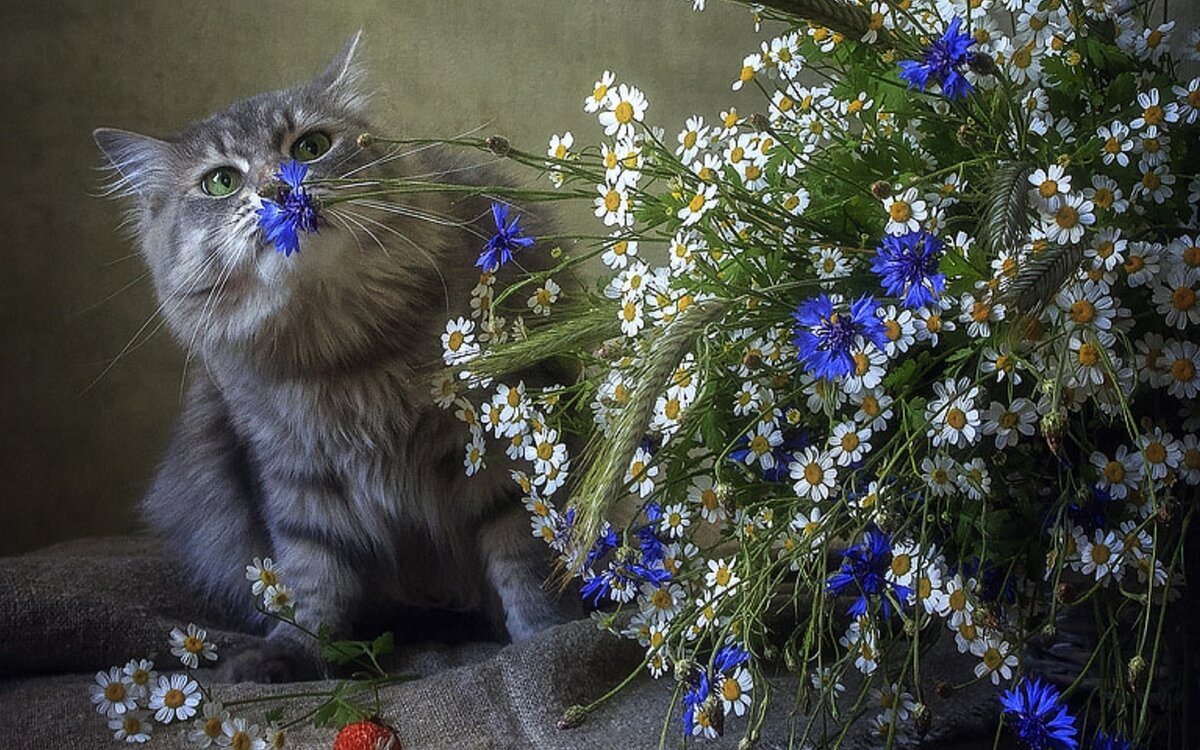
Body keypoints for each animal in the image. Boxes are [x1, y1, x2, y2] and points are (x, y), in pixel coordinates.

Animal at [92, 32, 571, 681]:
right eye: (221, 182)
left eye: (310, 147)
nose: (277, 190)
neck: (345, 355)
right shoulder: (296, 475)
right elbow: (312, 579)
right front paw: (294, 656)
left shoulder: (494, 447)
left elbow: (524, 561)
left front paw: (547, 639)